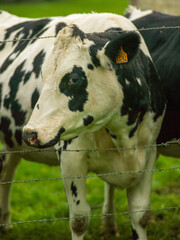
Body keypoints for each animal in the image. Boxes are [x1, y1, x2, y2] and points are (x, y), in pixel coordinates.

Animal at [0, 9, 141, 236]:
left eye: (73, 79)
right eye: (43, 75)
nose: (30, 133)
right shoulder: (70, 157)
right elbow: (80, 219)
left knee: (6, 171)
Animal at [23, 13, 167, 240]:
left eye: (73, 79)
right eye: (43, 76)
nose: (30, 133)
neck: (124, 136)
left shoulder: (150, 152)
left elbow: (140, 214)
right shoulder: (70, 157)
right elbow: (80, 220)